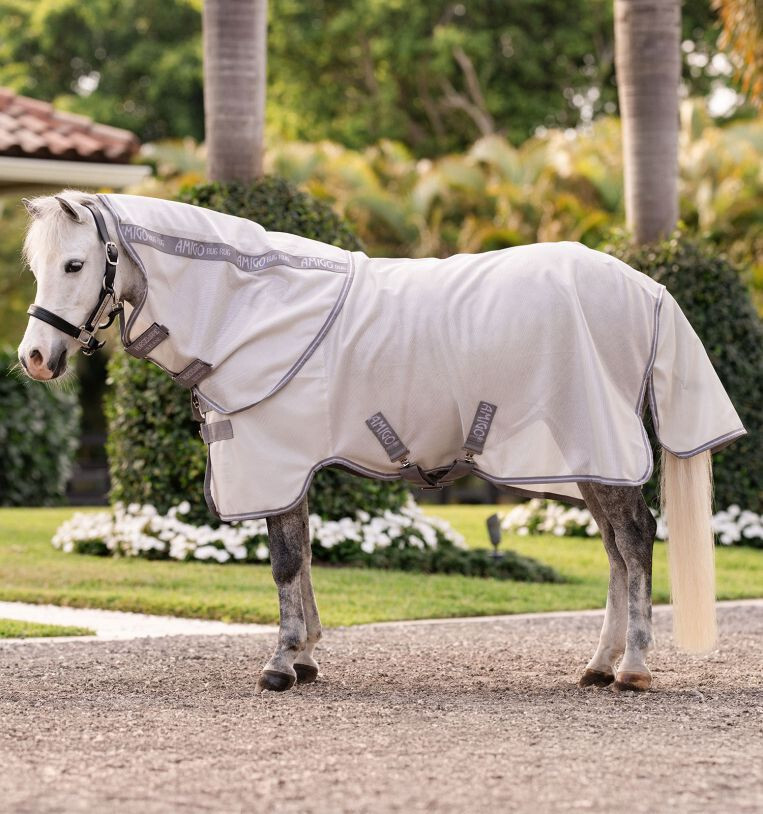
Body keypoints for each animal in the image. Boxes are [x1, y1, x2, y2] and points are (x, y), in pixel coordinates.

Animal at [17, 191, 745, 693]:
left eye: (75, 264)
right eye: (35, 264)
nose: (35, 358)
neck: (250, 305)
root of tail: (645, 288)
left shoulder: (274, 460)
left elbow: (284, 562)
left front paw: (281, 664)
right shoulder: (292, 466)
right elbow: (303, 556)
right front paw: (306, 655)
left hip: (598, 449)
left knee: (635, 542)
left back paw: (633, 668)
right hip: (588, 461)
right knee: (619, 552)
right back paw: (597, 665)